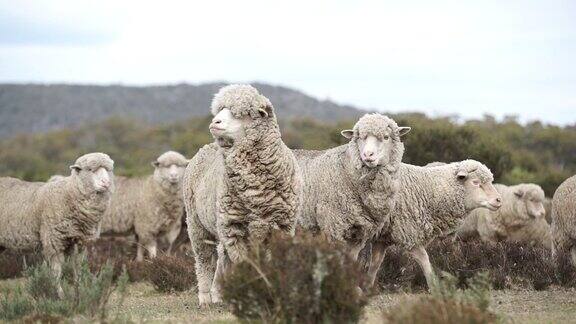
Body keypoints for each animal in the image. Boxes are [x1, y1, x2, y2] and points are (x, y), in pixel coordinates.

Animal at [0, 153, 115, 296]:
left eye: (109, 170)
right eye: (90, 170)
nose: (106, 183)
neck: (68, 193)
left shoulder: (80, 242)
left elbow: (78, 268)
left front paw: (79, 291)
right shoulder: (53, 241)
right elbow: (57, 272)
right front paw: (60, 295)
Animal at [183, 84, 302, 306]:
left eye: (243, 114)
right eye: (220, 109)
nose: (215, 122)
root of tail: (206, 147)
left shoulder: (280, 227)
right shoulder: (234, 229)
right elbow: (244, 264)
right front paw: (253, 293)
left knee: (222, 256)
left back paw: (218, 293)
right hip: (196, 224)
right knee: (204, 260)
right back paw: (205, 296)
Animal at [294, 112, 412, 262]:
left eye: (386, 137)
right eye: (360, 137)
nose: (368, 155)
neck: (346, 168)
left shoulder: (359, 235)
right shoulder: (333, 226)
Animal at [362, 161, 502, 290]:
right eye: (475, 182)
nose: (499, 200)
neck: (427, 189)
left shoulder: (382, 237)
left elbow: (375, 263)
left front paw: (367, 287)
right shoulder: (409, 233)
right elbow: (424, 259)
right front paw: (434, 286)